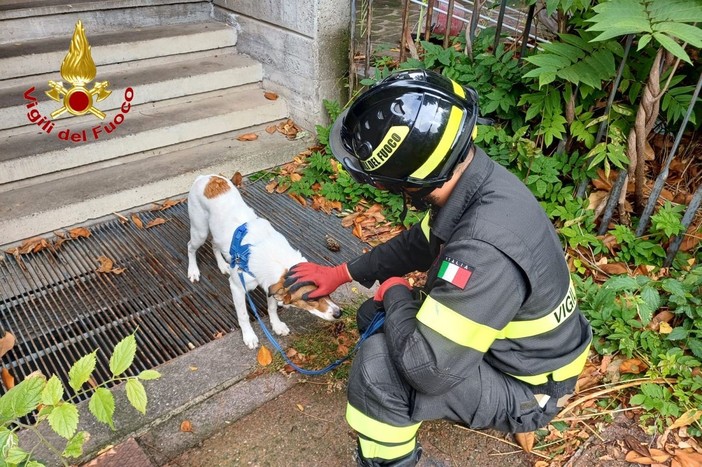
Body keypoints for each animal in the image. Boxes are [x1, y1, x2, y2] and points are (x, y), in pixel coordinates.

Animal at [186, 174, 342, 350]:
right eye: (310, 299)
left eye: (328, 291)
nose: (339, 313)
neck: (276, 257)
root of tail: (205, 177)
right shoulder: (237, 287)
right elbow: (243, 316)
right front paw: (249, 335)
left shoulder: (270, 285)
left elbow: (272, 307)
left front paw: (277, 324)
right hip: (200, 231)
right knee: (190, 247)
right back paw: (193, 271)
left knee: (214, 244)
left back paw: (222, 265)